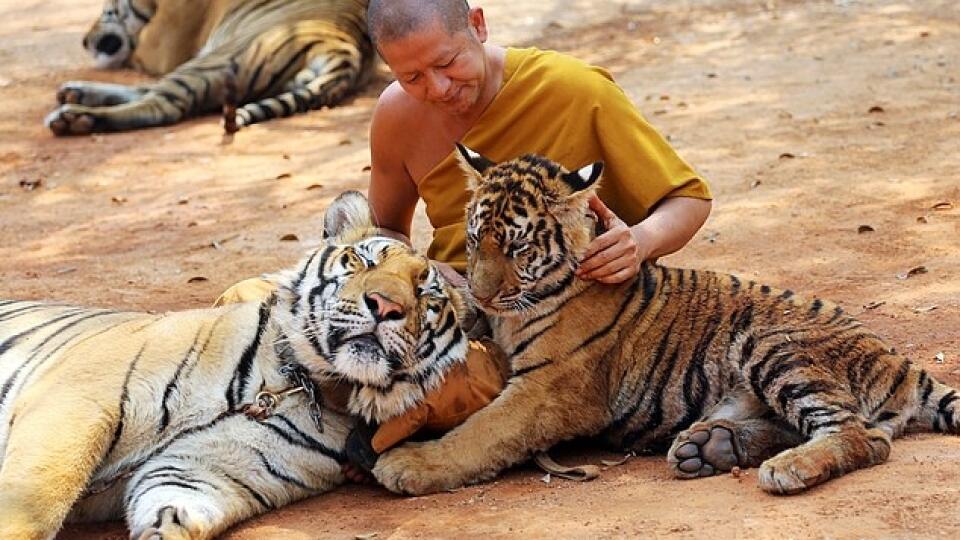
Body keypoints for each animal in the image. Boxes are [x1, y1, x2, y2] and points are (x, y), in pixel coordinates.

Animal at [0, 192, 468, 536]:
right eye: (364, 261)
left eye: (426, 294)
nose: (385, 306)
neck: (302, 382)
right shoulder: (76, 403)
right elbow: (32, 510)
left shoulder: (204, 468)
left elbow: (174, 506)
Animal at [47, 0, 374, 135]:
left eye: (107, 12)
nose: (84, 41)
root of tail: (348, 49)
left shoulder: (163, 43)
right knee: (150, 92)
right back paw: (75, 93)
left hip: (219, 58)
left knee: (163, 105)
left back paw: (74, 117)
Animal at [374, 146, 960, 496]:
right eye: (476, 240)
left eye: (516, 247)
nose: (483, 293)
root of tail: (901, 361)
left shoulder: (547, 389)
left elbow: (481, 431)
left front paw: (408, 464)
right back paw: (712, 445)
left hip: (776, 344)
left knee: (865, 435)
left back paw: (784, 468)